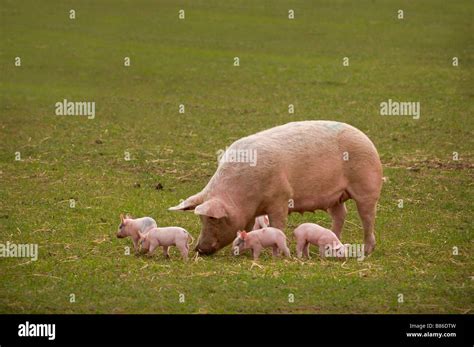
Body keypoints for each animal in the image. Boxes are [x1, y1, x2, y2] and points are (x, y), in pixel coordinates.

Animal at [168, 121, 384, 256]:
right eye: (202, 220)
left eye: (214, 220)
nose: (199, 249)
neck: (244, 197)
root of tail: (367, 138)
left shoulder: (280, 198)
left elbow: (278, 225)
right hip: (334, 197)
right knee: (340, 214)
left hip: (367, 185)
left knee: (368, 216)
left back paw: (367, 251)